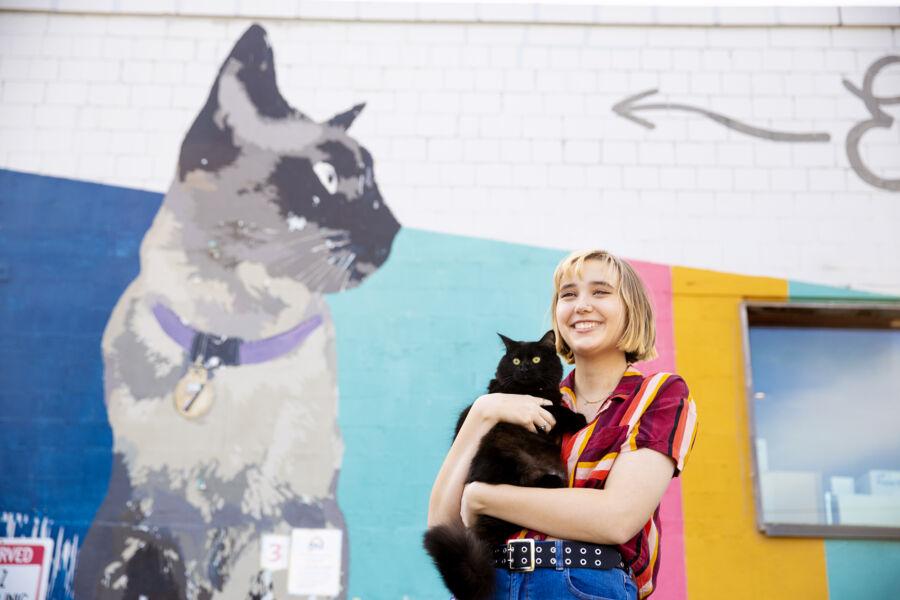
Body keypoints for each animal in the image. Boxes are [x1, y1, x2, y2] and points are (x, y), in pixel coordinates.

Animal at [424, 332, 588, 600]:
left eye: (535, 359)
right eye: (515, 360)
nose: (524, 368)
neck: (529, 390)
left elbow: (556, 405)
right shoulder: (527, 405)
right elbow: (556, 409)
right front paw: (578, 419)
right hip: (503, 458)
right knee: (526, 482)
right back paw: (552, 479)